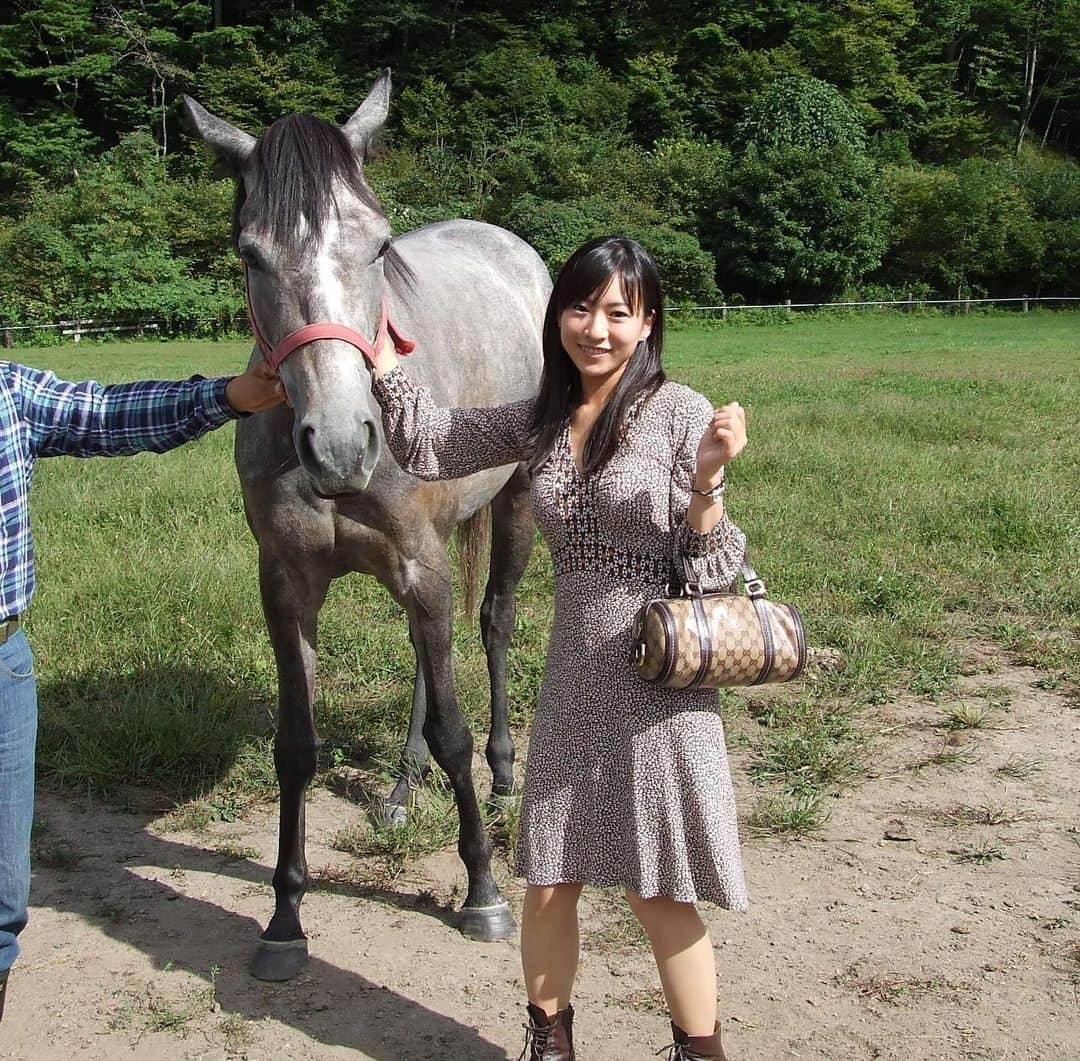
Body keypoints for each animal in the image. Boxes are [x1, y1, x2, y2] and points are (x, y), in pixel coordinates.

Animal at [183, 70, 548, 985]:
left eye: (379, 247)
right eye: (250, 254)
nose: (343, 444)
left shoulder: (422, 565)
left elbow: (453, 725)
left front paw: (482, 889)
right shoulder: (287, 585)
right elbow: (296, 745)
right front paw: (284, 915)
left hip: (516, 506)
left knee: (492, 625)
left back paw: (501, 776)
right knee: (427, 658)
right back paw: (400, 791)